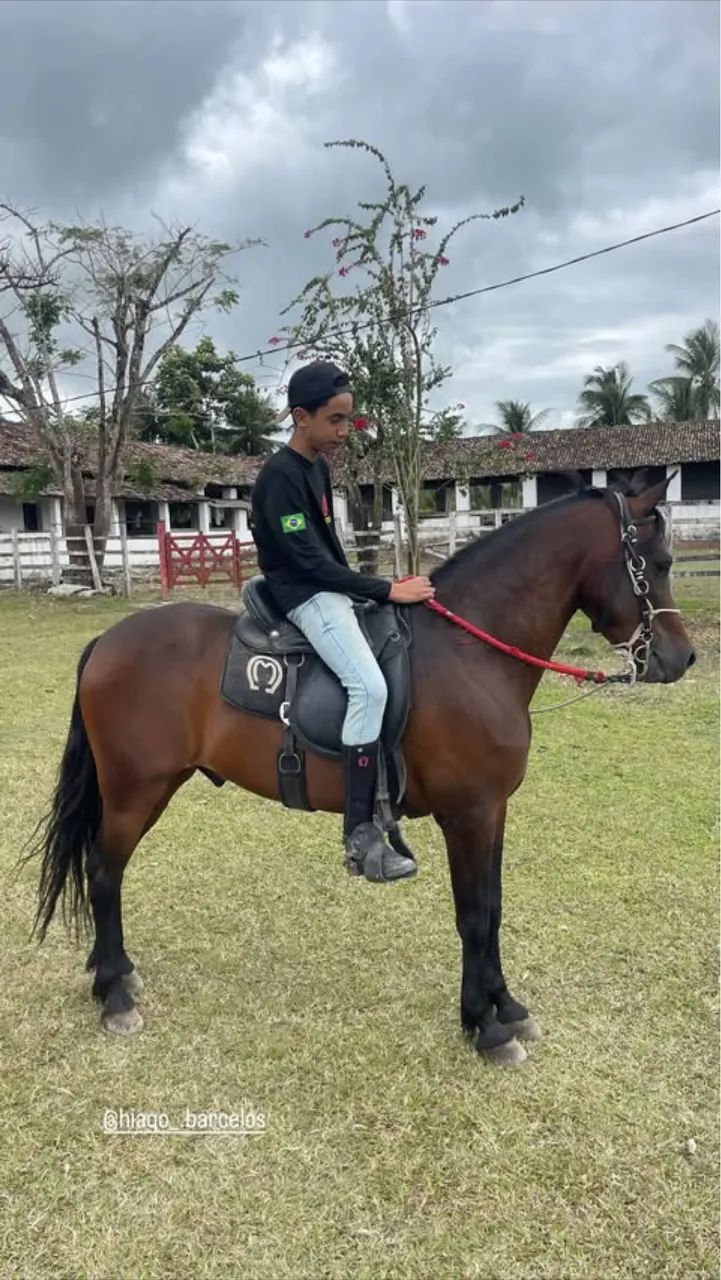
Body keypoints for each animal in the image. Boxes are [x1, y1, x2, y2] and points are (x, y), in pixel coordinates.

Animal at [28, 474, 694, 1066]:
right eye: (659, 563)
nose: (682, 658)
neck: (470, 653)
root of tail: (107, 641)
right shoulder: (467, 814)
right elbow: (474, 916)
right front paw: (483, 1026)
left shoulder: (494, 811)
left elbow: (495, 907)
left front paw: (506, 1006)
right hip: (135, 792)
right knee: (103, 873)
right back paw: (114, 994)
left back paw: (116, 975)